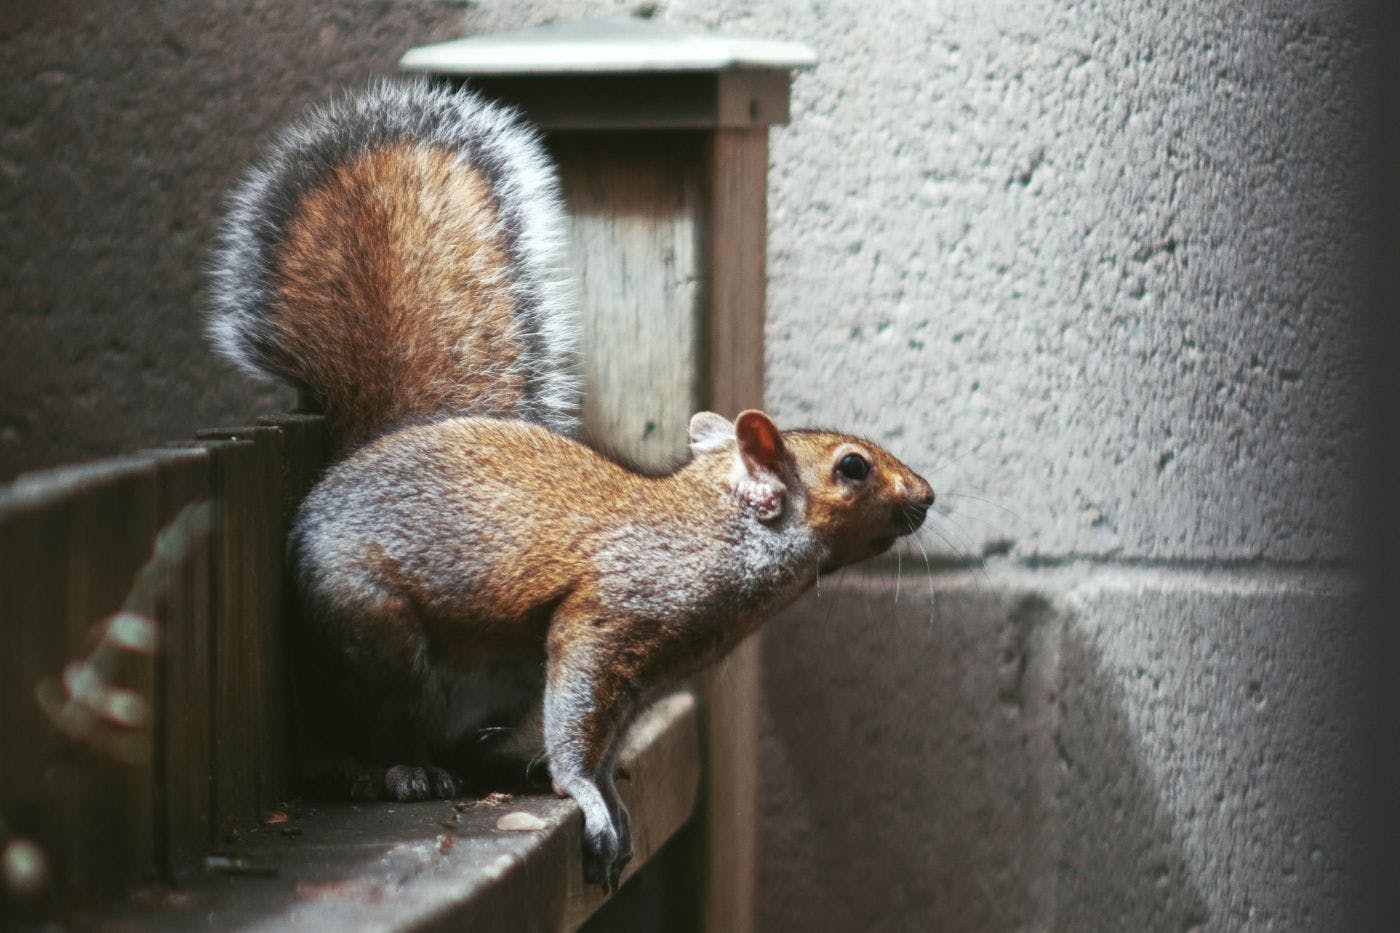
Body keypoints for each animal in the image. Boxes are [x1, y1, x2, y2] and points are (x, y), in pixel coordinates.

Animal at [208, 79, 934, 890]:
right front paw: (585, 792)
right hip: (373, 635)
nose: (927, 496)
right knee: (364, 729)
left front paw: (608, 787)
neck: (714, 534)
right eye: (852, 467)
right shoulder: (608, 615)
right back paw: (395, 770)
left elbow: (604, 735)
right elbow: (578, 717)